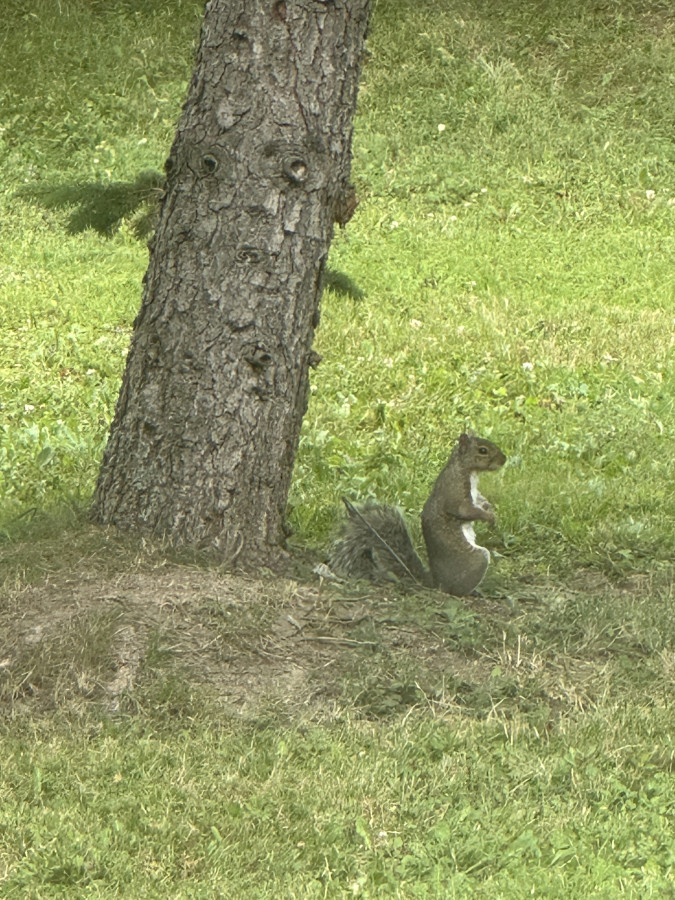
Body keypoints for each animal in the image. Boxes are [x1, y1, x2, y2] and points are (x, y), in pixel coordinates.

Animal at [328, 433, 506, 596]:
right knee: (456, 591)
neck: (467, 470)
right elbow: (465, 510)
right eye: (482, 450)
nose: (503, 460)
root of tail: (435, 582)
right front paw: (488, 516)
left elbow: (481, 500)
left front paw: (490, 510)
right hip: (477, 561)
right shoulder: (454, 492)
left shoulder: (475, 494)